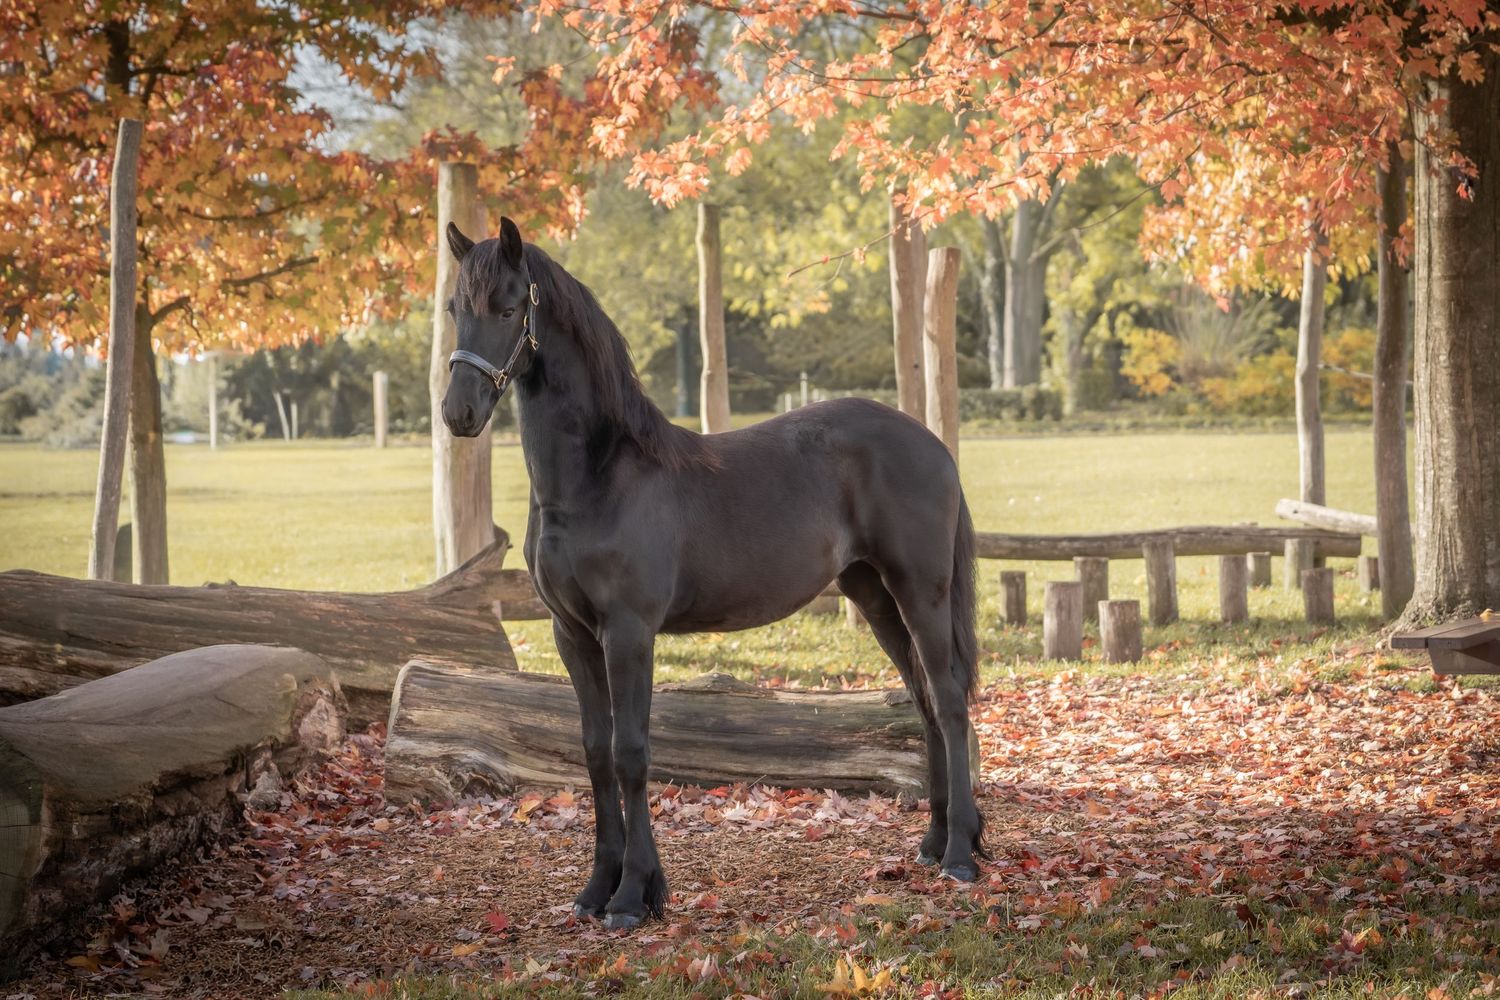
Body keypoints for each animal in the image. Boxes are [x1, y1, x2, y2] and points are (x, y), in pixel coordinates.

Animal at [440, 216, 986, 930]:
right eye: (454, 310)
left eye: (507, 308)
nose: (459, 414)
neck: (599, 477)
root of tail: (933, 444)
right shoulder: (572, 635)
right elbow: (593, 752)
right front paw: (598, 889)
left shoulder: (629, 633)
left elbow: (631, 753)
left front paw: (633, 896)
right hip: (873, 595)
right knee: (923, 700)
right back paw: (934, 842)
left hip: (921, 591)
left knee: (948, 700)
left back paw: (962, 855)